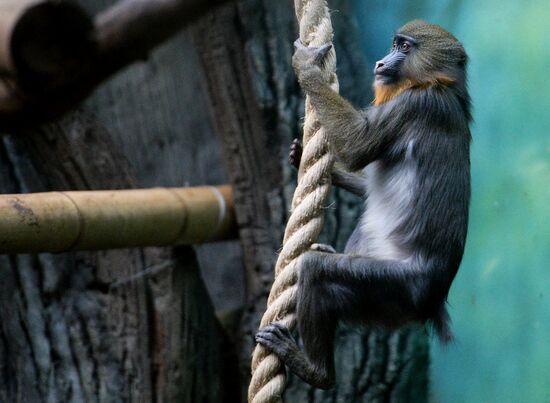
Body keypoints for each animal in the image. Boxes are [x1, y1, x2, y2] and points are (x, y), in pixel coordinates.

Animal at [256, 20, 472, 390]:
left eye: (404, 48)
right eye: (394, 44)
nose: (381, 62)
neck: (441, 85)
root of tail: (433, 300)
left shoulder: (414, 105)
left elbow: (357, 146)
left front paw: (307, 66)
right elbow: (366, 181)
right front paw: (304, 158)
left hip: (392, 287)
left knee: (316, 270)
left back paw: (315, 370)